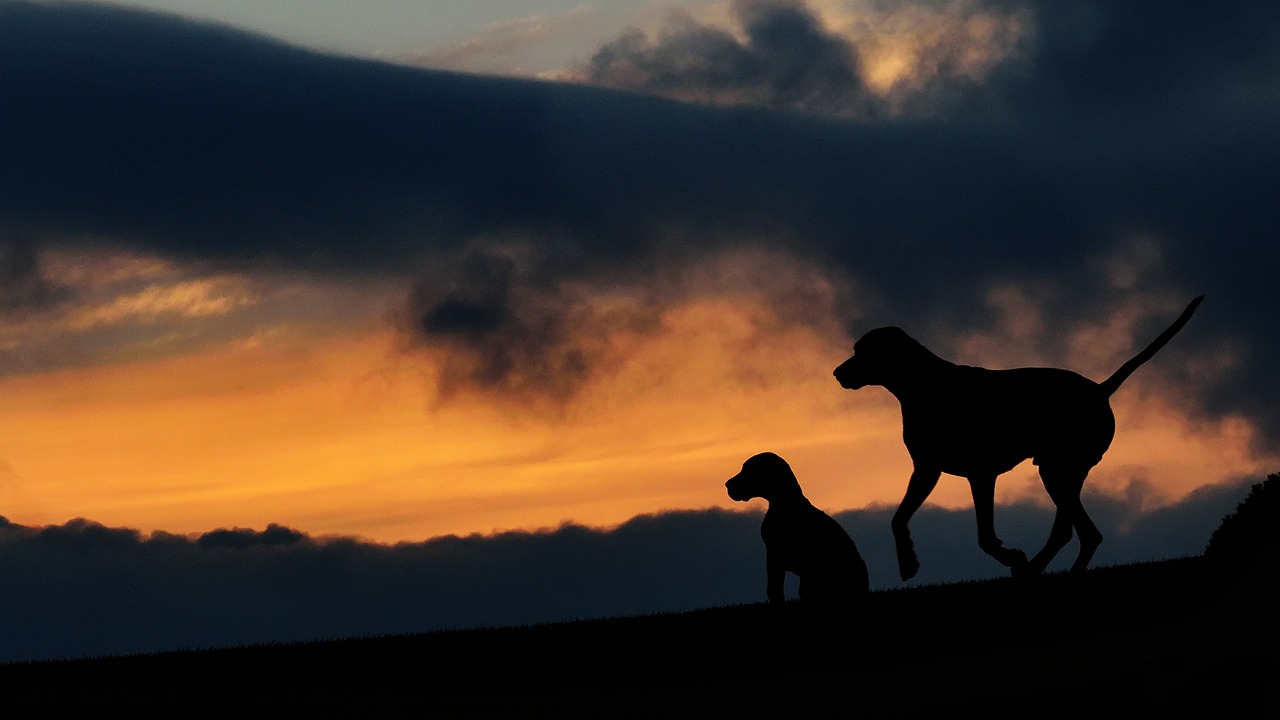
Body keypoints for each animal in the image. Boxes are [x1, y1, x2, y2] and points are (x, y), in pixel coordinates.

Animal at [732, 448, 870, 617]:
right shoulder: (773, 557)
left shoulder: (776, 556)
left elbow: (775, 592)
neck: (784, 504)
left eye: (748, 470)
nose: (727, 484)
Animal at [834, 294, 1203, 579]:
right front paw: (908, 560)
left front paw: (1009, 554)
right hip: (1063, 472)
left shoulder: (981, 474)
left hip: (1057, 470)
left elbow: (984, 537)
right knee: (1069, 531)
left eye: (863, 351)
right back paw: (1035, 569)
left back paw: (1045, 571)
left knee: (1087, 534)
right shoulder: (927, 470)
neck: (923, 385)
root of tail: (1100, 390)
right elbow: (898, 519)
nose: (837, 373)